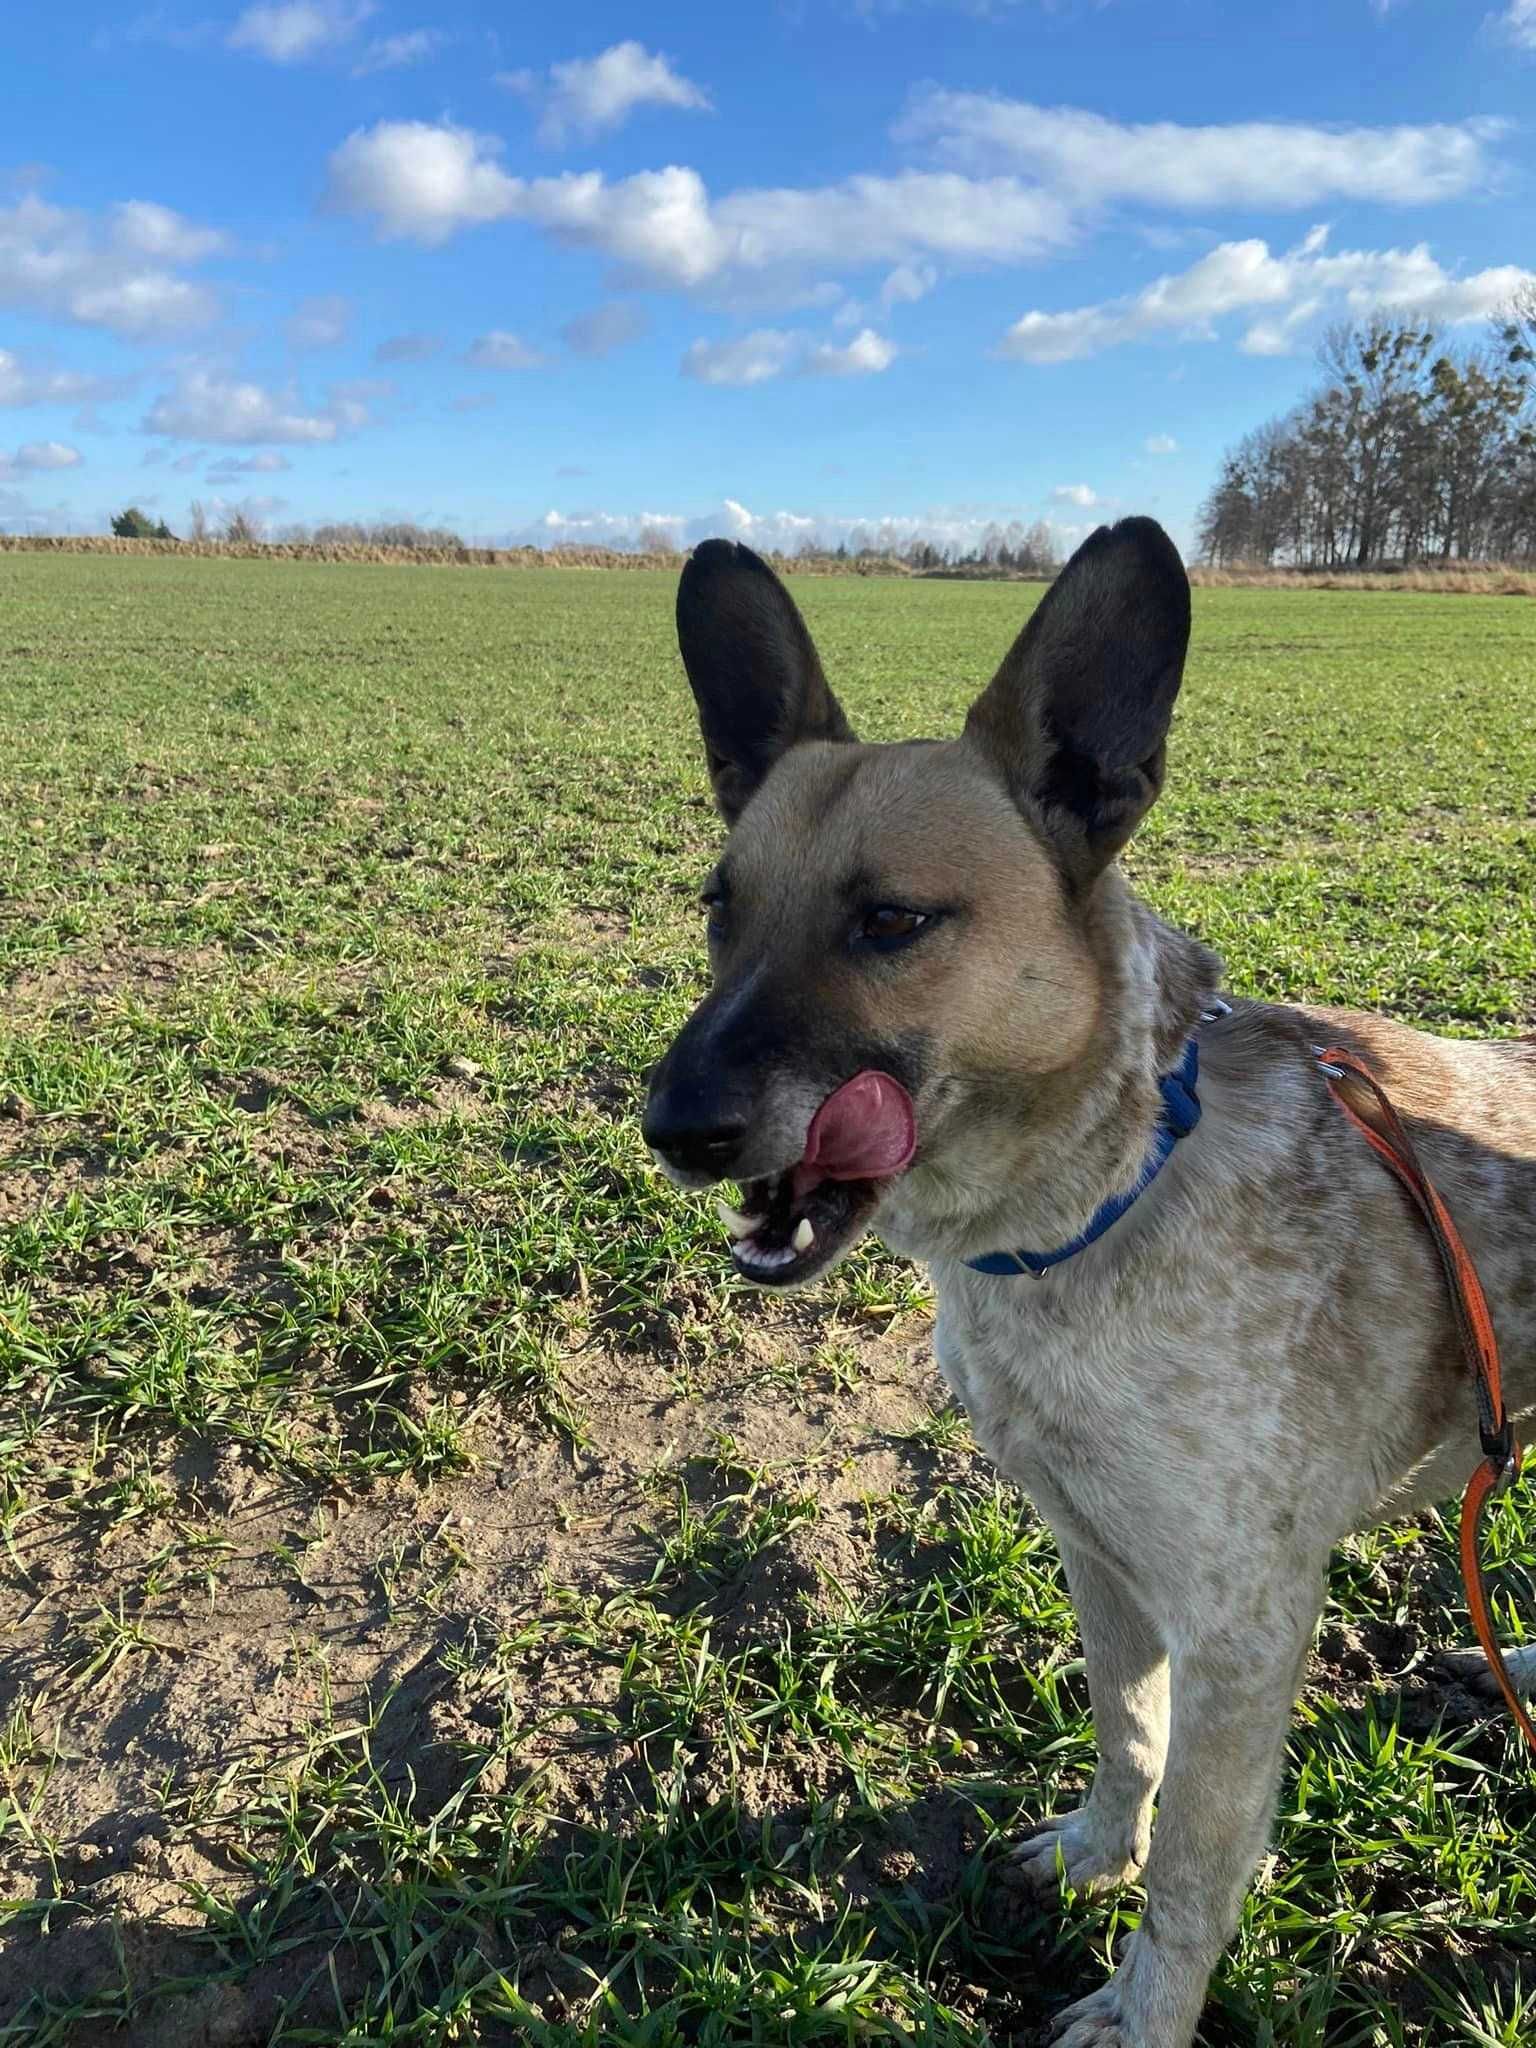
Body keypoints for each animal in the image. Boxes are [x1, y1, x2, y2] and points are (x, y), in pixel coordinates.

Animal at [638, 520, 1536, 2039]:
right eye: (720, 909)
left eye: (893, 921)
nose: (670, 1124)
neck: (1105, 1194)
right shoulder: (1096, 1552)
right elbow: (1127, 1737)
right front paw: (1096, 1853)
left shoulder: (1243, 1623)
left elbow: (1195, 1871)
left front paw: (1142, 2008)